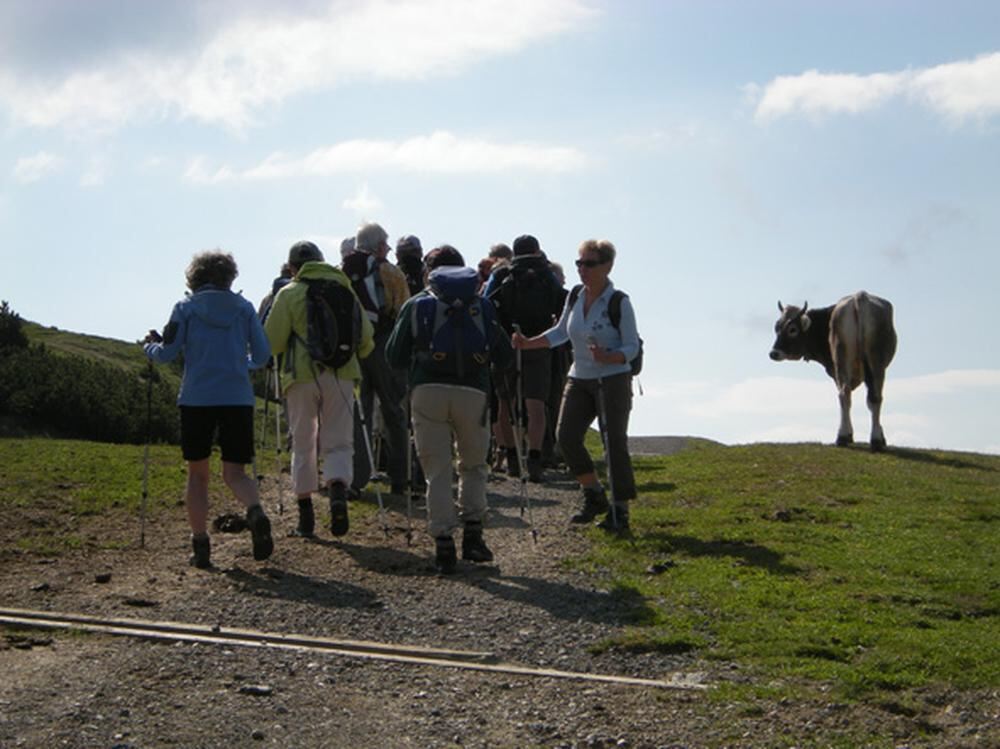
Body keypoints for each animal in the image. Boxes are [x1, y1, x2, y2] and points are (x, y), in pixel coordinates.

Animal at [772, 292, 900, 450]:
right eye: (776, 328)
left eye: (792, 329)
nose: (773, 353)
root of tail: (859, 296)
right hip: (871, 362)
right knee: (866, 396)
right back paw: (865, 438)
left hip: (849, 360)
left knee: (852, 395)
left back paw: (848, 437)